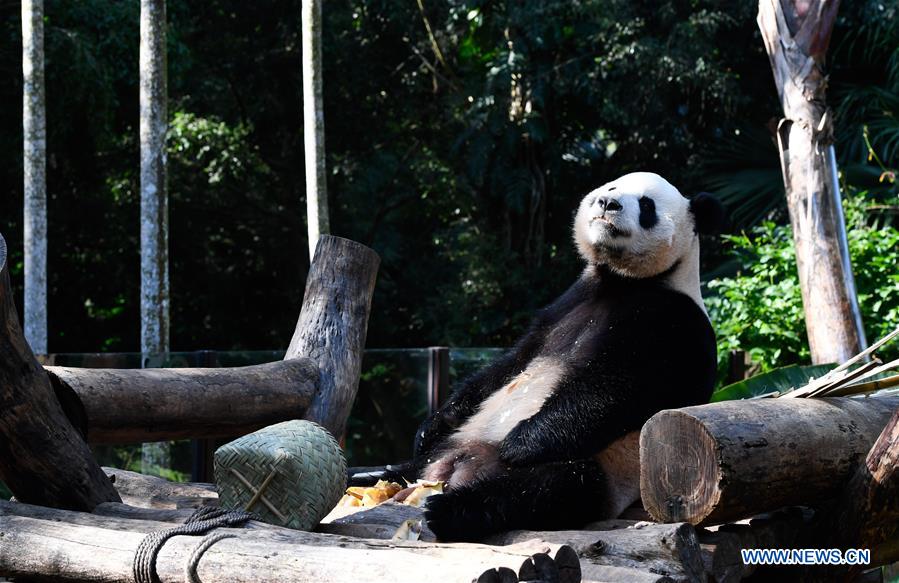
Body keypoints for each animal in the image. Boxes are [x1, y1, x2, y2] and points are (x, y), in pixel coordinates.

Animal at [412, 172, 723, 542]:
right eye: (611, 189)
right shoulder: (564, 305)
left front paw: (521, 442)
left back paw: (447, 510)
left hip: (610, 466)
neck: (621, 281)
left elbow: (616, 387)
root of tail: (456, 467)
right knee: (418, 463)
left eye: (647, 205)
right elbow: (508, 365)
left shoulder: (674, 323)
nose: (608, 203)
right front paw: (429, 426)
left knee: (548, 488)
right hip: (456, 442)